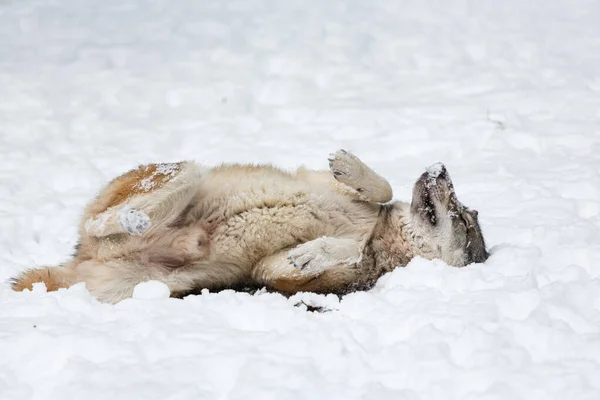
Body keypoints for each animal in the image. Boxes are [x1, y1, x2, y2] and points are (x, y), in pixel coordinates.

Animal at [10, 150, 488, 304]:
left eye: (463, 217)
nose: (440, 168)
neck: (378, 234)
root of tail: (78, 263)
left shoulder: (271, 273)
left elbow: (345, 248)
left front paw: (315, 251)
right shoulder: (321, 183)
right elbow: (382, 186)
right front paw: (349, 166)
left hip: (148, 288)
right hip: (186, 171)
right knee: (99, 221)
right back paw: (132, 219)